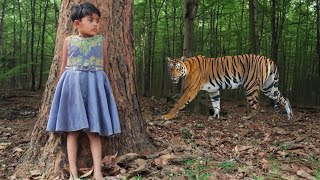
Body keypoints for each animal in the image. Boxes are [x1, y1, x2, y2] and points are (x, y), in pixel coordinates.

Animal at [162, 54, 292, 120]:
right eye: (170, 68)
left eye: (178, 68)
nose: (173, 77)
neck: (187, 69)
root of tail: (269, 59)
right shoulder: (213, 90)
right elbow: (216, 104)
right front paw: (215, 117)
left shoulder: (190, 91)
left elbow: (178, 103)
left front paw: (167, 116)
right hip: (268, 87)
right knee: (284, 98)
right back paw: (290, 115)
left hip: (251, 86)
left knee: (256, 106)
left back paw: (248, 118)